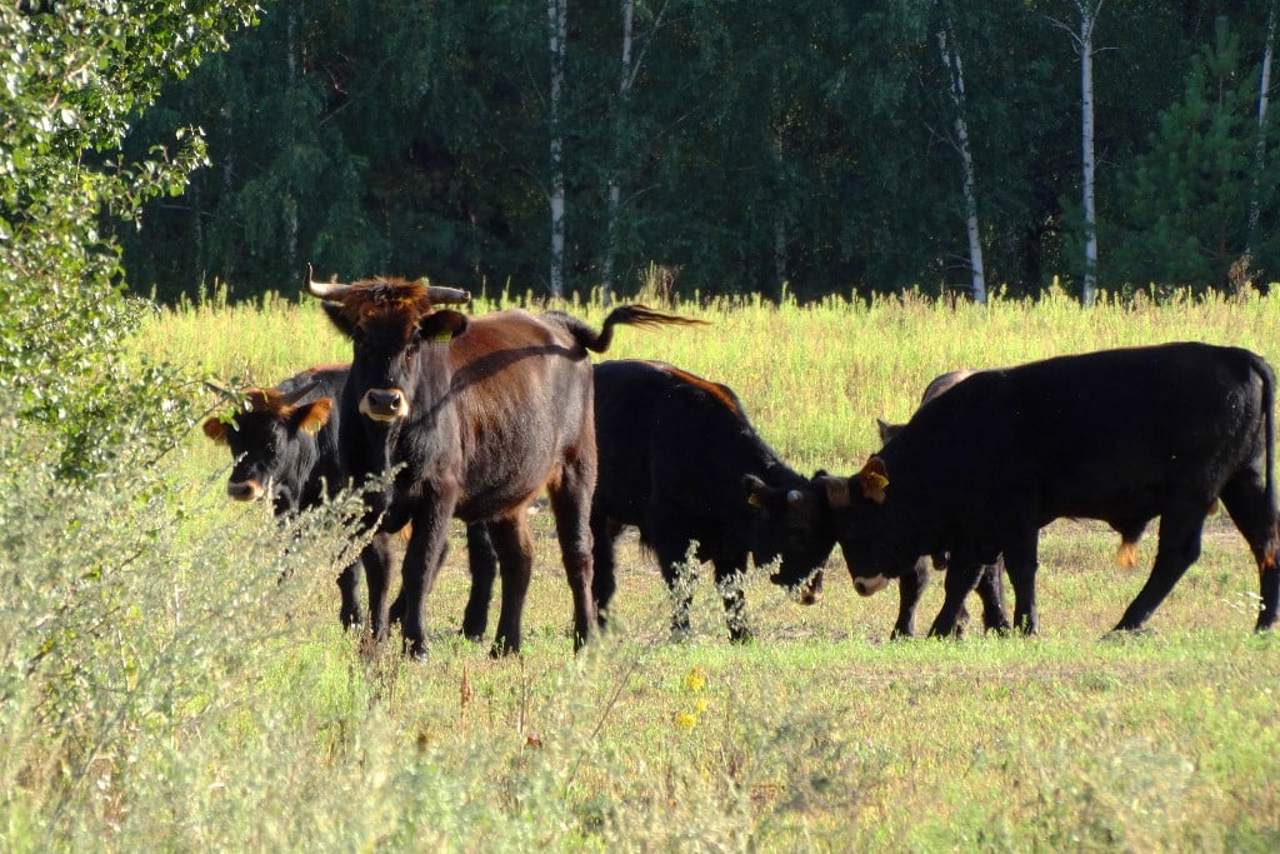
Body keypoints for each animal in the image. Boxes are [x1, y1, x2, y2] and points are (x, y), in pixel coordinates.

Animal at [202, 363, 496, 637]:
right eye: (233, 440)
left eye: (272, 441)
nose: (241, 487)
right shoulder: (288, 515)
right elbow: (287, 562)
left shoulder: (349, 517)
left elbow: (349, 571)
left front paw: (352, 619)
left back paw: (471, 627)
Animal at [304, 270, 701, 660]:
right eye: (359, 334)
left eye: (415, 338)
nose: (385, 400)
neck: (388, 443)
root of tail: (558, 326)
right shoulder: (364, 504)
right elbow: (379, 570)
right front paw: (372, 644)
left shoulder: (438, 496)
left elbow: (419, 565)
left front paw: (416, 645)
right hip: (508, 497)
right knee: (519, 559)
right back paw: (506, 644)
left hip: (577, 470)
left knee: (578, 554)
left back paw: (584, 638)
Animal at [586, 358, 834, 640]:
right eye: (796, 533)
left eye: (830, 542)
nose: (812, 594)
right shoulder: (671, 537)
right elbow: (682, 586)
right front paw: (681, 633)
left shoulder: (732, 545)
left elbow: (732, 589)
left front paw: (742, 634)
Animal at [824, 340, 1274, 635]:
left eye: (858, 524)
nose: (862, 583)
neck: (963, 430)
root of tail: (1237, 357)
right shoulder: (979, 529)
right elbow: (969, 577)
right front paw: (951, 627)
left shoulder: (1012, 520)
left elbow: (1013, 571)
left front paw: (1022, 625)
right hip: (1243, 484)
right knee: (1265, 542)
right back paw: (1265, 623)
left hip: (1191, 496)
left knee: (1178, 555)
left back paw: (1125, 624)